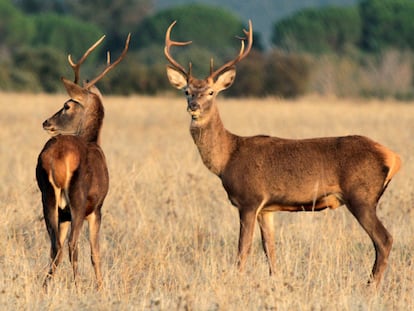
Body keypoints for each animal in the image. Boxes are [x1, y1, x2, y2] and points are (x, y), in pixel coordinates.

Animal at [35, 34, 130, 290]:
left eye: (66, 105)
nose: (46, 122)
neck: (94, 141)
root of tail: (56, 157)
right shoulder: (97, 208)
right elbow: (95, 252)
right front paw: (101, 287)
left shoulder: (65, 214)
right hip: (77, 199)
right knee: (72, 245)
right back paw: (78, 286)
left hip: (48, 197)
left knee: (55, 246)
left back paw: (45, 286)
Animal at [164, 19, 402, 288]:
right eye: (186, 91)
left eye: (211, 92)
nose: (193, 106)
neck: (227, 159)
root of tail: (393, 158)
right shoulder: (267, 208)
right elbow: (270, 249)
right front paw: (275, 282)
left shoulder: (249, 199)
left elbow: (243, 250)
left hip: (362, 195)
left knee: (384, 239)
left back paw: (370, 287)